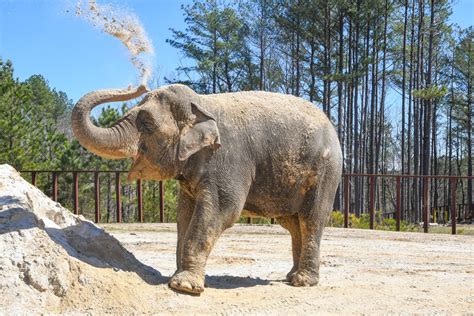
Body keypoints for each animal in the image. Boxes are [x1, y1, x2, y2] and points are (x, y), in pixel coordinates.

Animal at [71, 83, 340, 294]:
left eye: (147, 123)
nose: (139, 85)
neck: (201, 103)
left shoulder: (228, 159)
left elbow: (222, 210)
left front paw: (184, 286)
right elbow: (184, 215)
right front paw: (179, 277)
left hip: (325, 173)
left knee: (311, 220)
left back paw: (303, 282)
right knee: (293, 224)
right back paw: (290, 276)